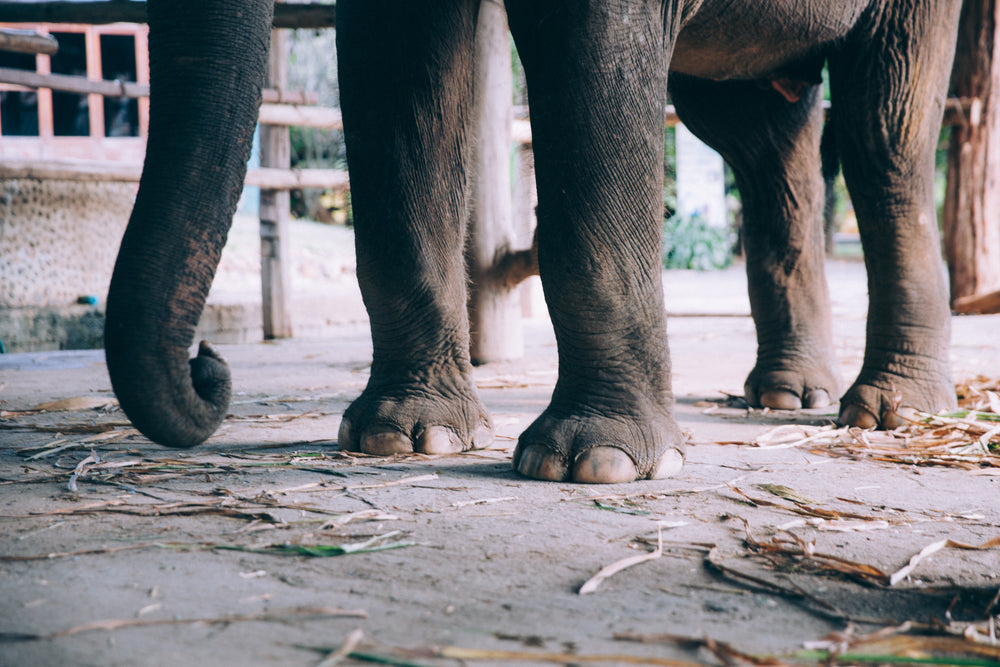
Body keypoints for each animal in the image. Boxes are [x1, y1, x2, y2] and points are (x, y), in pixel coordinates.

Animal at [101, 0, 960, 482]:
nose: (209, 362)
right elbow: (395, 65)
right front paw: (401, 439)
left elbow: (591, 54)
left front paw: (594, 464)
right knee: (762, 137)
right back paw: (787, 395)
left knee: (885, 126)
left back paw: (889, 414)